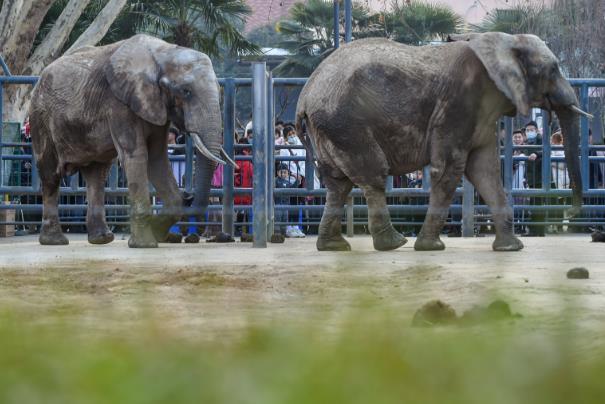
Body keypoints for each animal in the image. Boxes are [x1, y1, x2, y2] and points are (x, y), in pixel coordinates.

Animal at [28, 34, 232, 248]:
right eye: (186, 91)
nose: (189, 196)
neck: (164, 53)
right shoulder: (119, 103)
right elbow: (137, 155)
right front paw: (145, 244)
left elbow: (157, 159)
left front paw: (157, 232)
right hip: (40, 118)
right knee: (51, 175)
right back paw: (54, 241)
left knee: (96, 175)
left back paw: (101, 239)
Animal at [294, 32, 592, 252]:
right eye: (553, 69)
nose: (568, 211)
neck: (503, 41)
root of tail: (305, 95)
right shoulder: (458, 105)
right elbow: (449, 169)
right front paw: (430, 247)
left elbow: (485, 172)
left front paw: (511, 248)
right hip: (345, 122)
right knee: (373, 175)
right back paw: (393, 243)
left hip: (330, 128)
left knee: (338, 184)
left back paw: (333, 246)